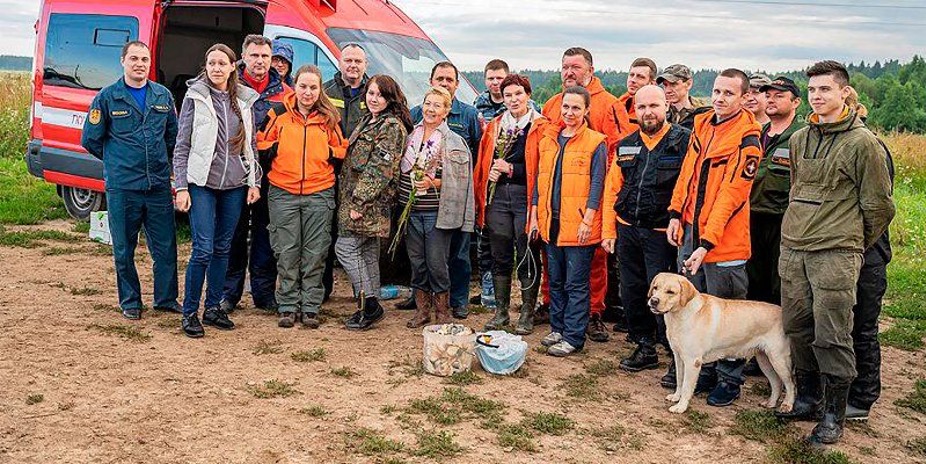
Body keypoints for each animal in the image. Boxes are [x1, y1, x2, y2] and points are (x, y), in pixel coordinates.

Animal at [648, 272, 792, 414]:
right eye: (655, 288)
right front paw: (676, 397)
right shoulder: (678, 357)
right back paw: (771, 403)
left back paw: (787, 405)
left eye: (670, 292)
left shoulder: (692, 361)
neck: (681, 315)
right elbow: (679, 380)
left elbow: (686, 387)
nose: (653, 301)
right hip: (764, 360)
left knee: (791, 383)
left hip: (779, 360)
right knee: (777, 383)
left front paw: (681, 407)